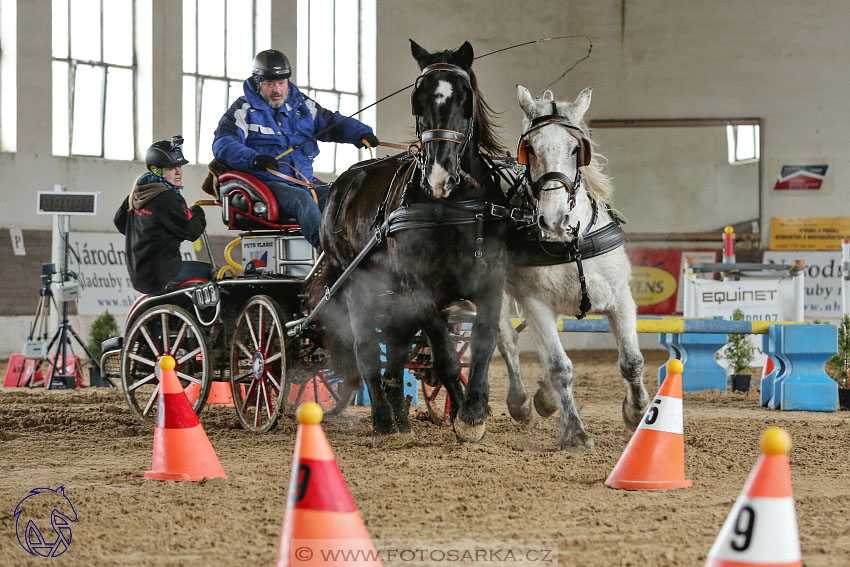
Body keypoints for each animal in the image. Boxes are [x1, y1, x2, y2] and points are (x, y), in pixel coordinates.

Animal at [312, 40, 510, 442]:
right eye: (418, 99)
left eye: (464, 96)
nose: (438, 176)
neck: (452, 207)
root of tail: (343, 182)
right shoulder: (422, 290)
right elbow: (445, 357)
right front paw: (461, 415)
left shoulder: (490, 280)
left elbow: (483, 343)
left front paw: (474, 413)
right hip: (356, 283)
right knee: (366, 349)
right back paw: (383, 421)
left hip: (393, 295)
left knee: (396, 351)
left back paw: (400, 419)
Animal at [494, 84, 644, 450]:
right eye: (530, 149)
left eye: (576, 149)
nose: (553, 219)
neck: (571, 242)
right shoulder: (535, 304)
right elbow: (560, 367)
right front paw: (575, 433)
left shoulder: (621, 298)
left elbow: (632, 362)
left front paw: (636, 413)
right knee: (507, 341)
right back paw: (520, 402)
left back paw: (545, 398)